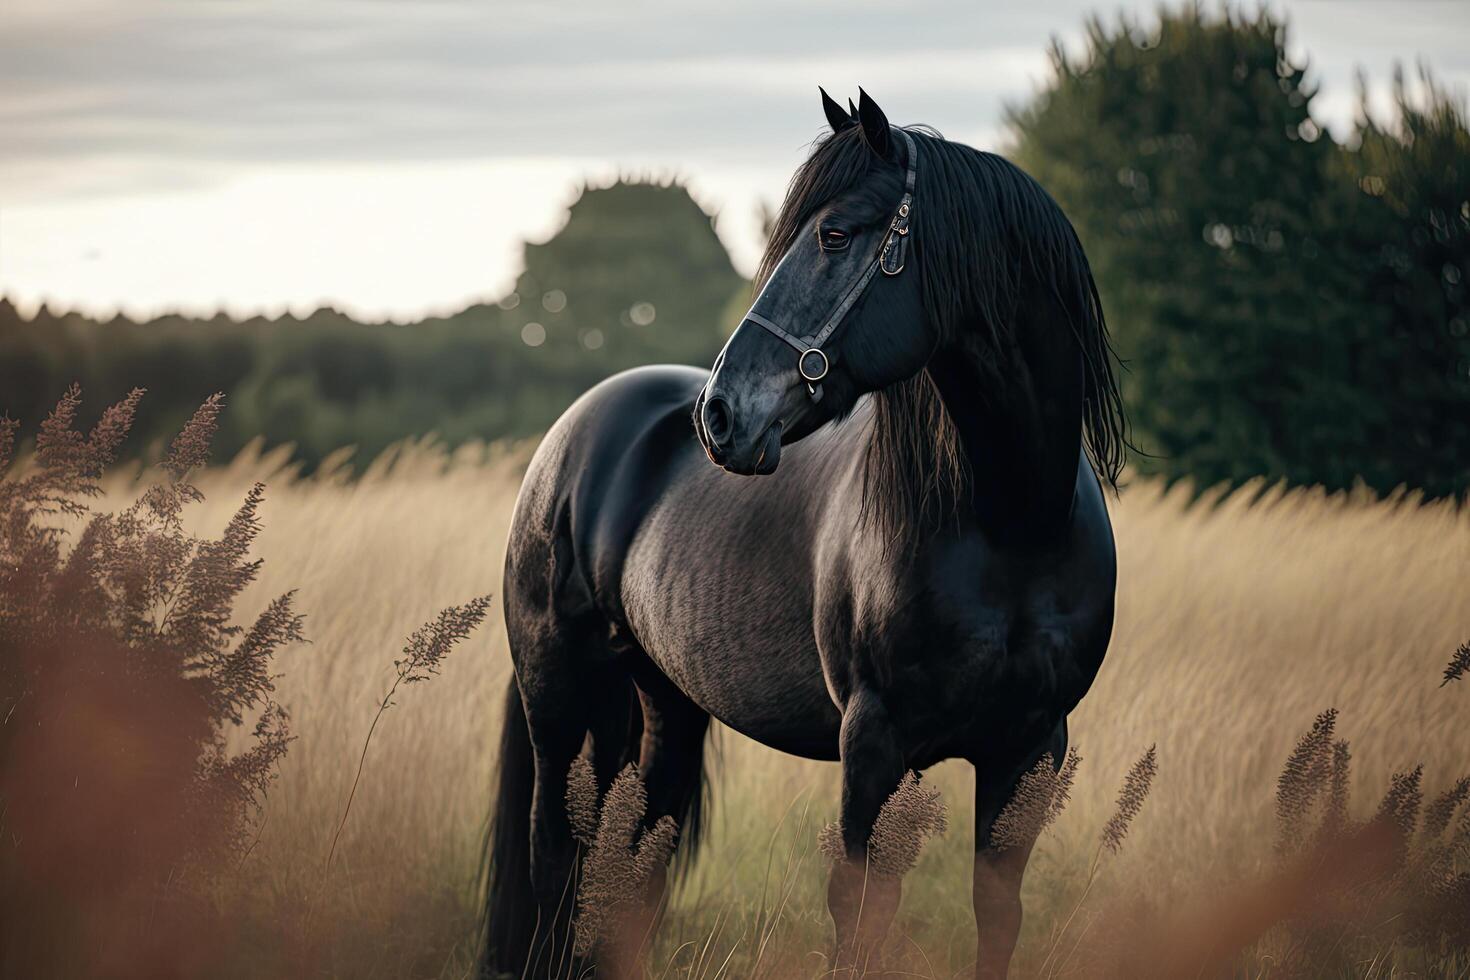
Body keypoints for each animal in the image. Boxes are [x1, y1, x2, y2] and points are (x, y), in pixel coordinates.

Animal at [482, 88, 1123, 975]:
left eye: (835, 235)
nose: (720, 414)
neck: (1011, 526)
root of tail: (571, 435)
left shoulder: (1028, 751)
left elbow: (997, 916)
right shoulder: (874, 746)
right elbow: (859, 920)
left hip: (666, 705)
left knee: (637, 871)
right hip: (559, 701)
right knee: (553, 862)